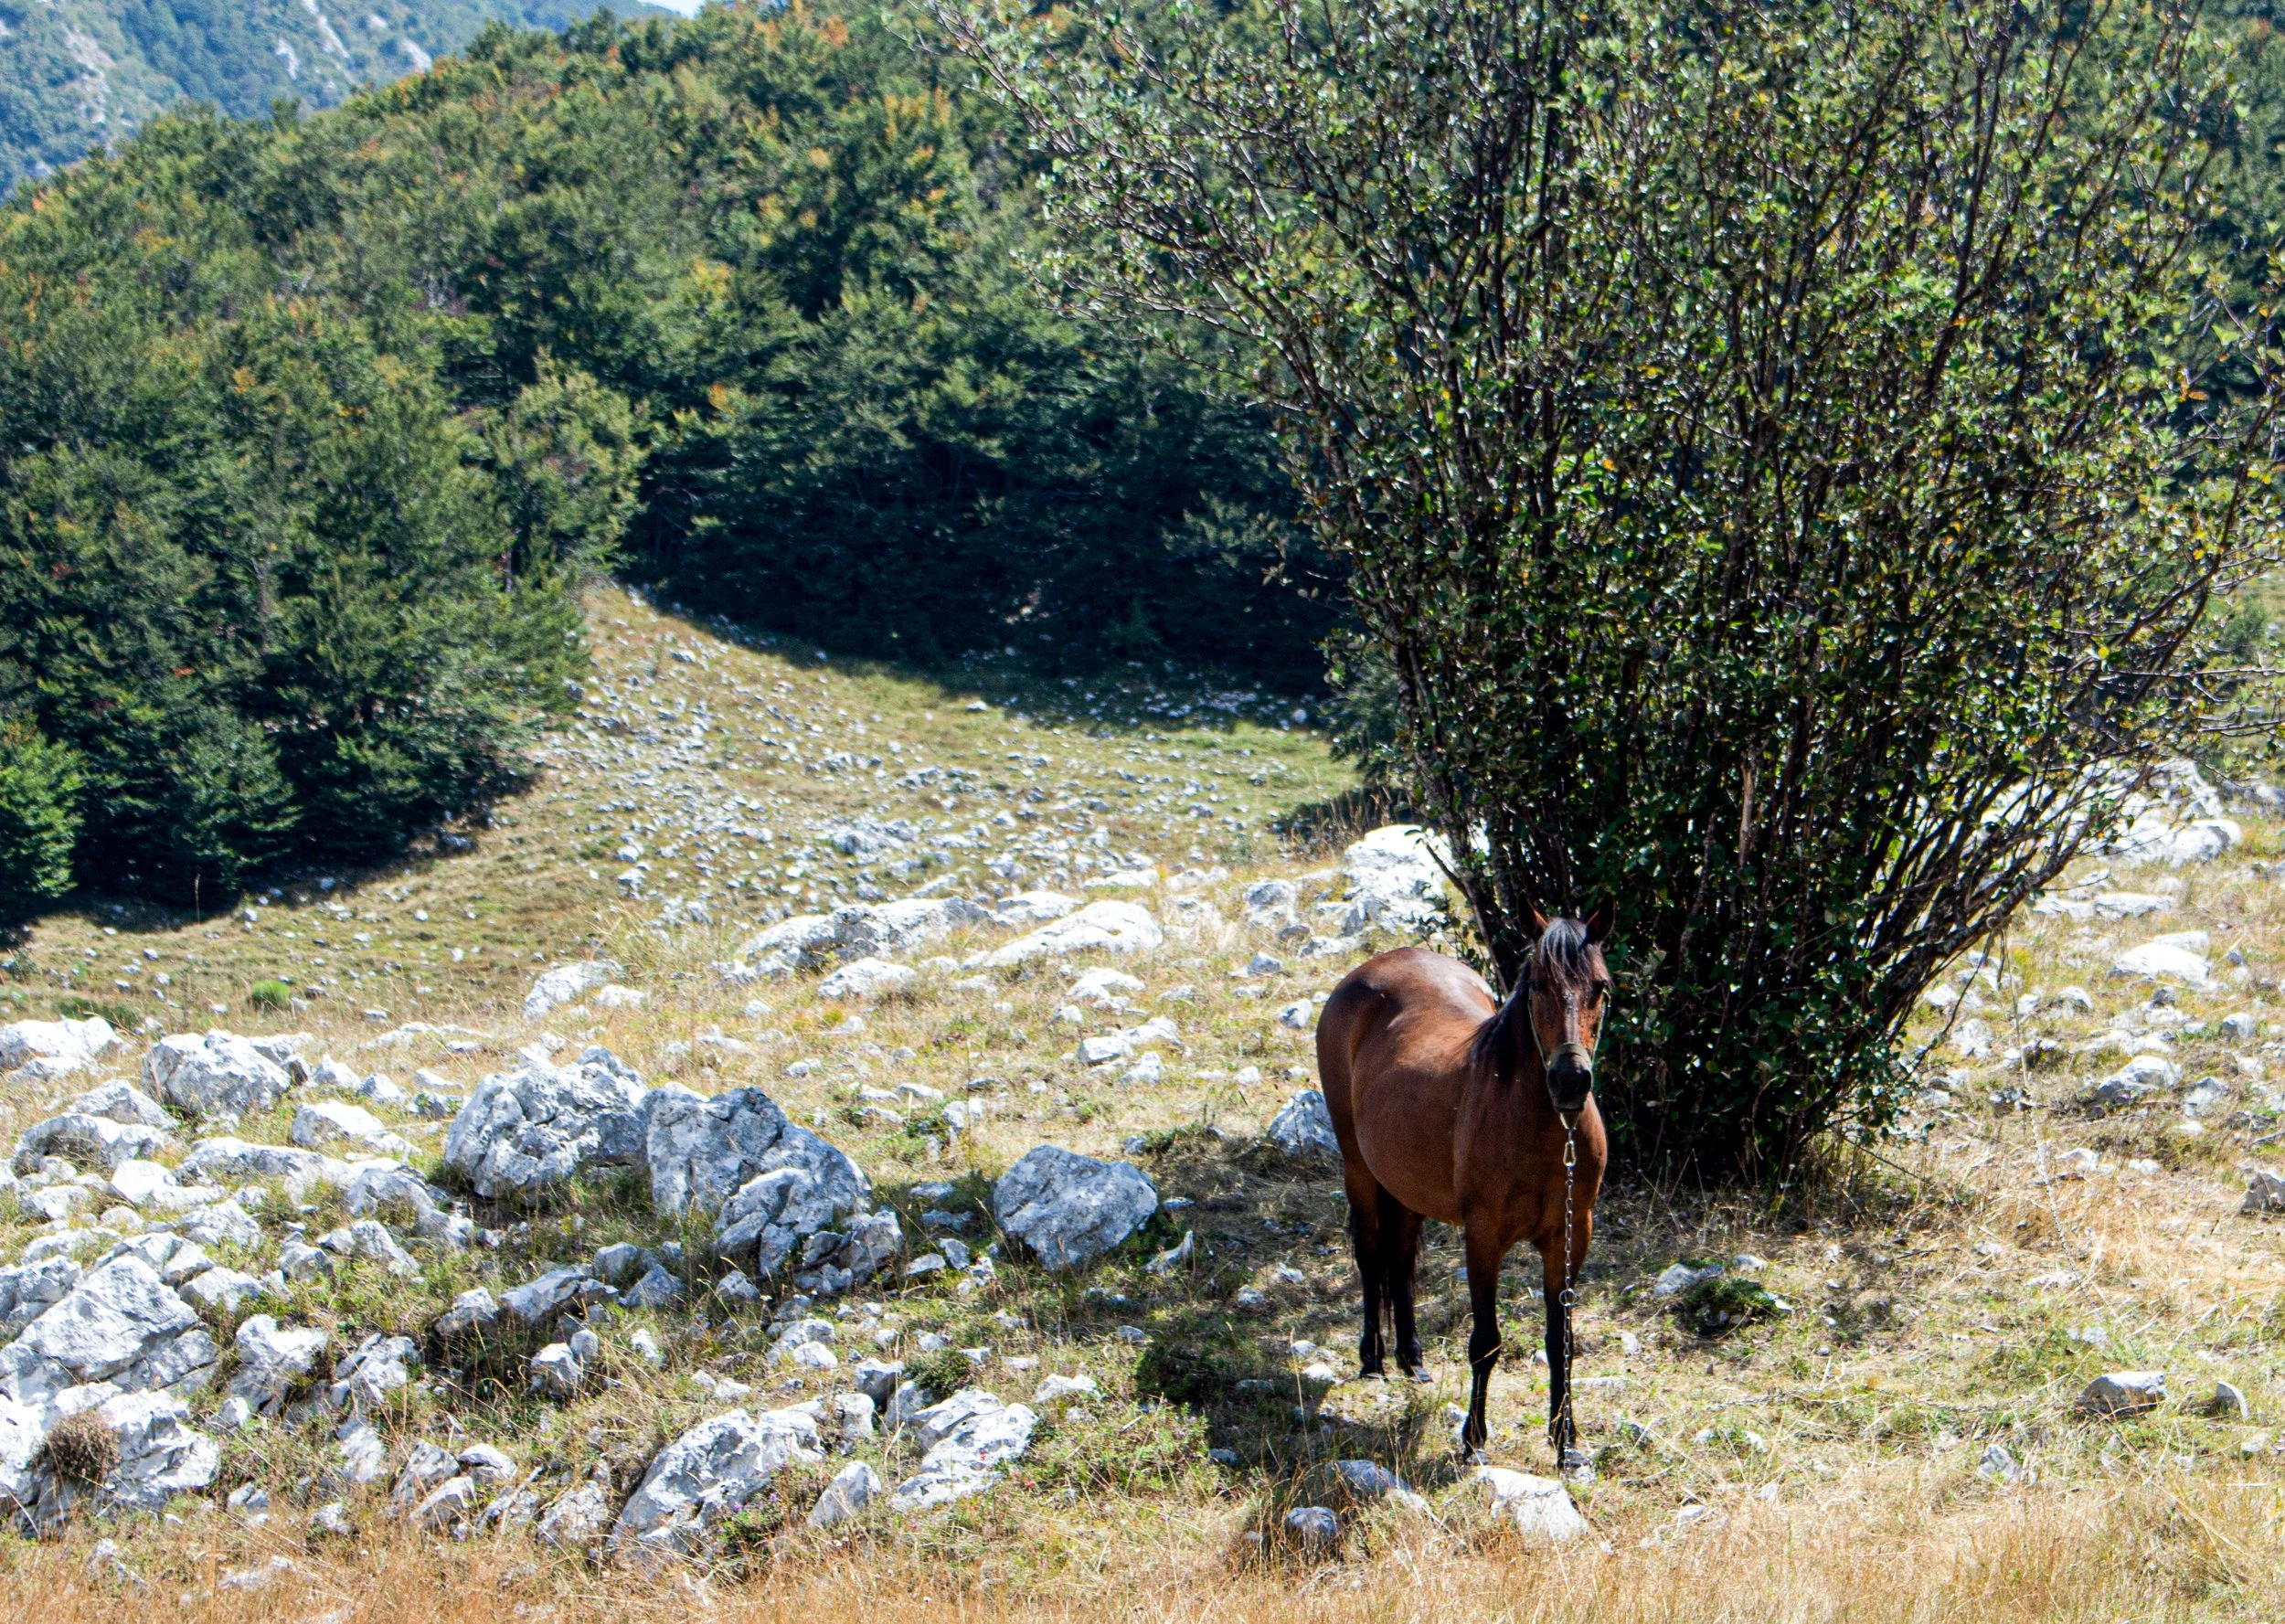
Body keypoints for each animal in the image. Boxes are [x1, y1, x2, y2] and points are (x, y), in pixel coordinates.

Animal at [1315, 906, 1612, 1466]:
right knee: (1371, 1254)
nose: (1570, 1080)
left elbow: (1560, 1339)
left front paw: (1566, 1441)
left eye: (1601, 988)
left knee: (1401, 1255)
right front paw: (1474, 1440)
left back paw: (1413, 1360)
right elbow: (1486, 1341)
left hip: (1406, 1184)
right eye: (1537, 985)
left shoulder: (1571, 1236)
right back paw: (1373, 1361)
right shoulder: (1483, 1237)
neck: (1540, 1132)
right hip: (1358, 1167)